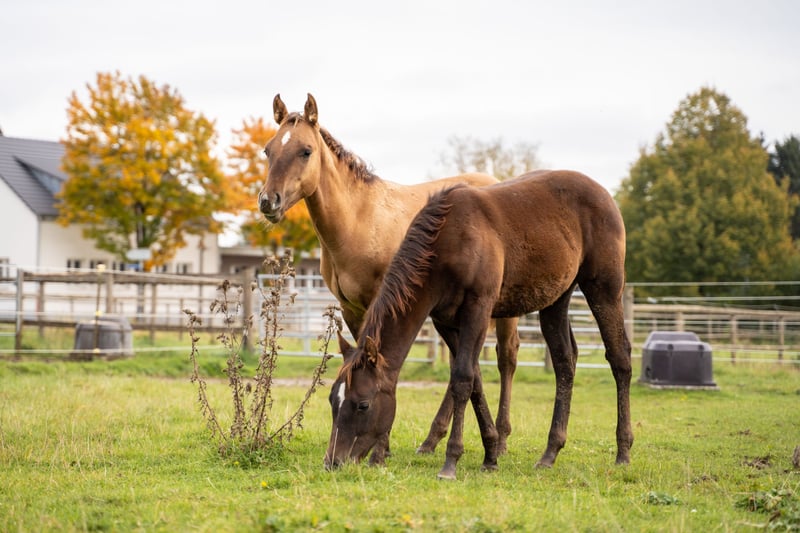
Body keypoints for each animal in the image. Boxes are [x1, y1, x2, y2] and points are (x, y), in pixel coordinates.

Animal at [257, 94, 521, 460]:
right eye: (268, 150)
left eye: (305, 150)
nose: (269, 201)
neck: (358, 219)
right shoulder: (352, 309)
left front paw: (379, 449)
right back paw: (432, 439)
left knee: (506, 357)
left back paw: (502, 437)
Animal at [325, 170, 633, 480]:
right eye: (332, 400)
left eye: (363, 404)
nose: (333, 462)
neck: (449, 240)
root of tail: (603, 193)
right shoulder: (446, 322)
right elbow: (476, 381)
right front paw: (491, 455)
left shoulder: (478, 310)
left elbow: (463, 378)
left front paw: (451, 461)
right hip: (556, 300)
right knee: (564, 362)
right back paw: (550, 452)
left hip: (604, 289)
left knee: (619, 358)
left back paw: (623, 451)